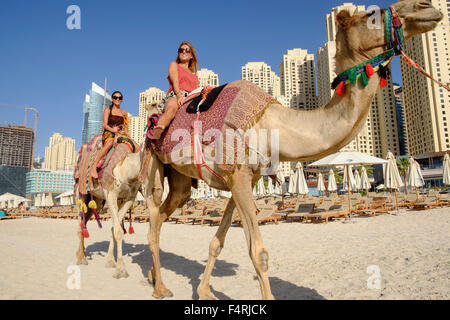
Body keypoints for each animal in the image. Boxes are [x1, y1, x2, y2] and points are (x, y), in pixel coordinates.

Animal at [74, 144, 141, 278]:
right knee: (80, 224)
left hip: (97, 201)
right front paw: (121, 269)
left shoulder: (129, 198)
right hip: (81, 192)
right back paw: (81, 258)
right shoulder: (111, 194)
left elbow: (114, 228)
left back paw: (81, 253)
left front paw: (110, 261)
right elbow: (118, 231)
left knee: (85, 222)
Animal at [144, 0, 442, 300]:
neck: (269, 123)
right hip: (155, 164)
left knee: (165, 211)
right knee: (153, 218)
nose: (426, 6)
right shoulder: (237, 176)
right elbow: (259, 253)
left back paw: (152, 275)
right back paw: (160, 287)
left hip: (181, 179)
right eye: (371, 14)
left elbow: (218, 241)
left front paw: (205, 291)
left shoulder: (243, 178)